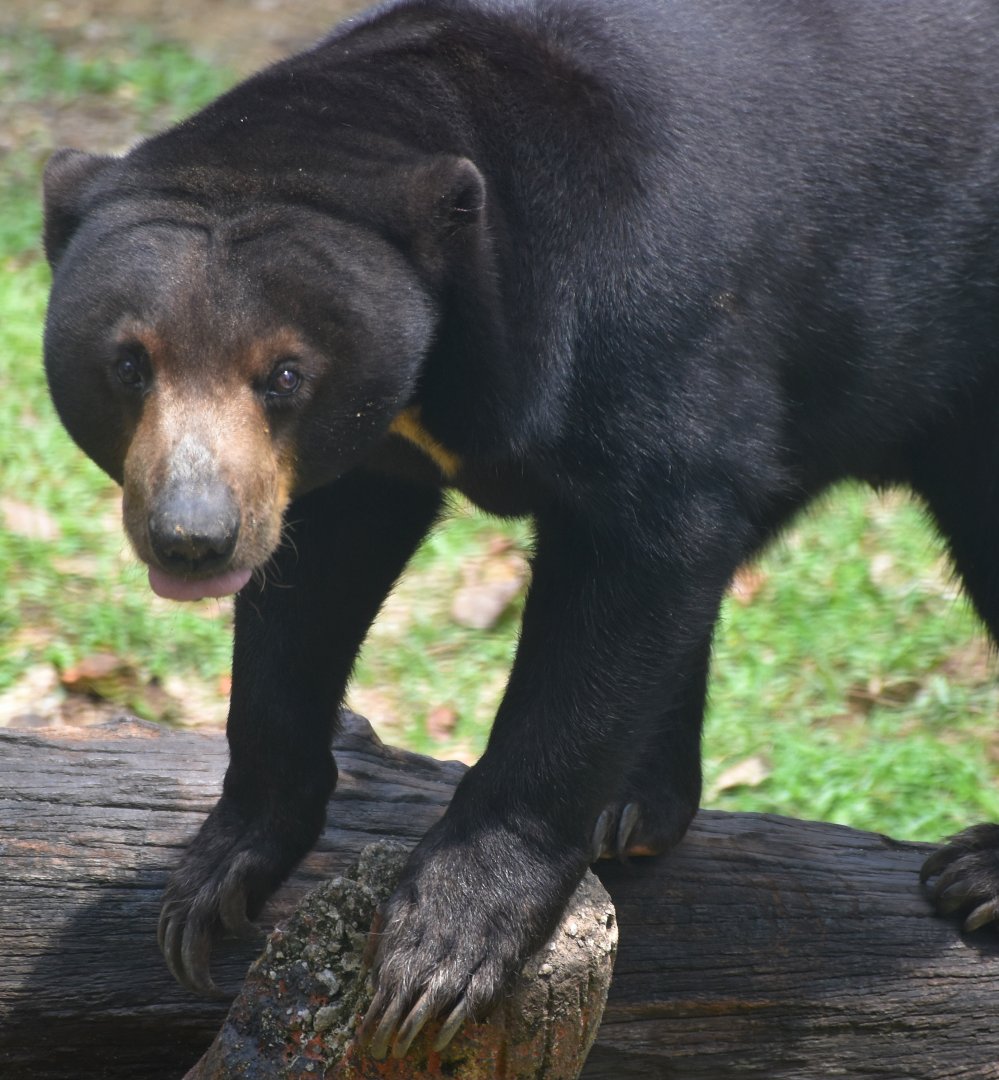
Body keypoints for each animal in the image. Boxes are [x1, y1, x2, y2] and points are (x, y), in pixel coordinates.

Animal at [42, 0, 999, 1060]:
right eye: (131, 364)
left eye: (284, 373)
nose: (193, 538)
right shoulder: (359, 457)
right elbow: (309, 589)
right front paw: (210, 887)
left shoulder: (647, 322)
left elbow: (636, 563)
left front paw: (439, 951)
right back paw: (636, 805)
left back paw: (974, 877)